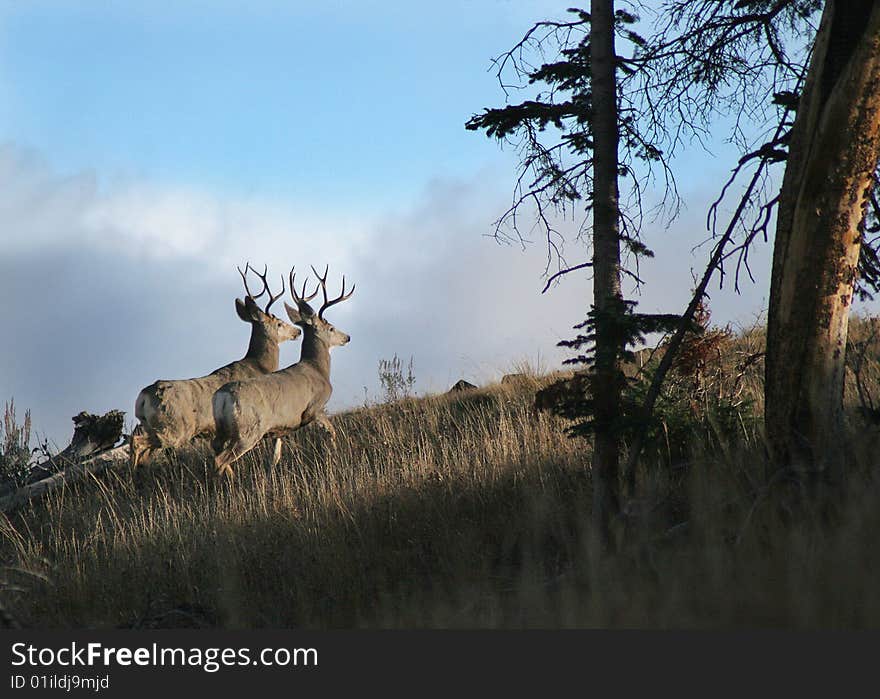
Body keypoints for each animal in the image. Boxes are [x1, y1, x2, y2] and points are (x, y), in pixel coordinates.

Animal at [130, 266, 302, 468]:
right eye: (279, 323)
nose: (297, 331)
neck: (259, 365)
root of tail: (144, 396)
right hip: (173, 428)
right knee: (137, 442)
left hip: (153, 426)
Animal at [211, 266, 352, 478]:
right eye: (331, 328)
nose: (347, 337)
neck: (318, 370)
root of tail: (222, 396)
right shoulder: (313, 407)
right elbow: (331, 431)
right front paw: (333, 456)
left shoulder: (281, 427)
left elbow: (275, 456)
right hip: (249, 428)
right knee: (220, 459)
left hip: (223, 429)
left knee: (215, 448)